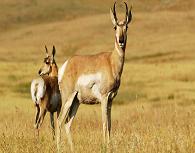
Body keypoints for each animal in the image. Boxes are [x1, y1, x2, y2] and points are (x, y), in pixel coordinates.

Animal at [56, 1, 133, 151]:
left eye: (126, 26)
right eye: (115, 26)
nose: (121, 40)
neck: (111, 61)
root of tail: (67, 64)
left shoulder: (111, 99)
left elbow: (110, 124)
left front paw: (109, 145)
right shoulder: (104, 98)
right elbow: (104, 123)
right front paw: (105, 146)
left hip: (76, 102)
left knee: (67, 124)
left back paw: (72, 148)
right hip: (68, 99)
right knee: (59, 121)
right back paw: (59, 148)